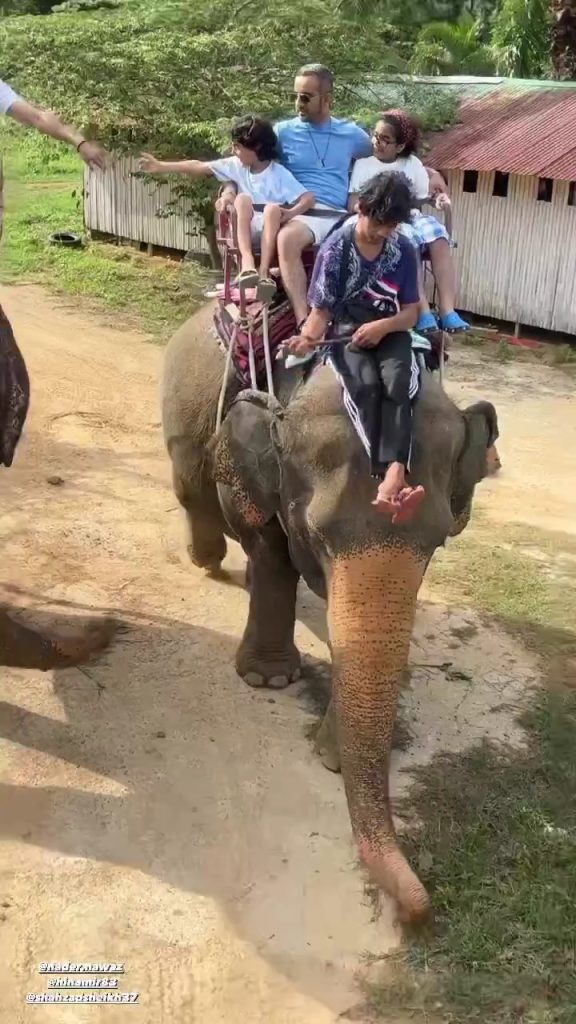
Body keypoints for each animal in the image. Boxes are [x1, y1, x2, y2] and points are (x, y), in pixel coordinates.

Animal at [162, 301, 498, 921]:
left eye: (439, 541)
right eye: (318, 534)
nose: (422, 909)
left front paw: (339, 751)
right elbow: (270, 549)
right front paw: (269, 679)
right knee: (191, 491)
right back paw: (207, 560)